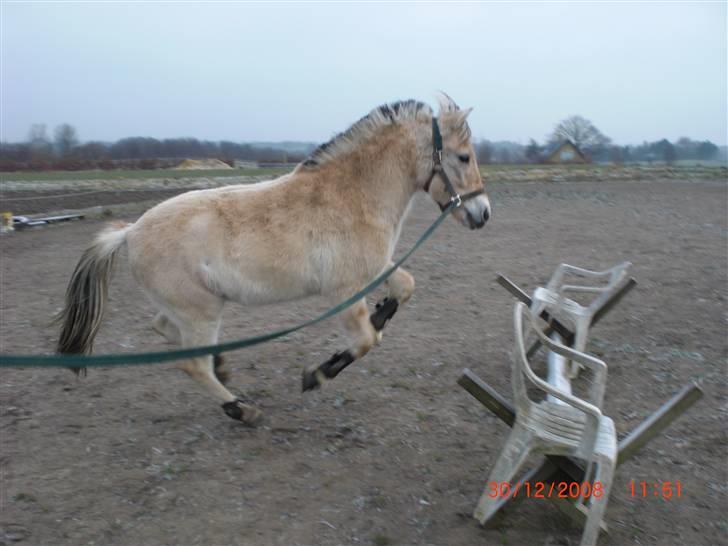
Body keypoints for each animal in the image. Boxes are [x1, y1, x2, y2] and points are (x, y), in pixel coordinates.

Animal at [55, 94, 490, 424]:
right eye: (464, 157)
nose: (483, 214)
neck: (350, 195)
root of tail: (129, 232)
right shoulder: (343, 290)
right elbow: (365, 340)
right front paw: (315, 376)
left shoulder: (373, 269)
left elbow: (404, 288)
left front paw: (380, 314)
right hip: (200, 310)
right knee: (191, 363)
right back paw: (241, 409)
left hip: (189, 308)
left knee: (166, 329)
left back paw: (223, 366)